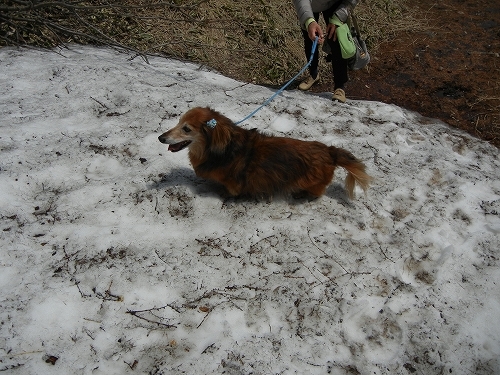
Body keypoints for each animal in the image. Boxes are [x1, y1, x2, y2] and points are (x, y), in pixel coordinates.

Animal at [157, 106, 372, 198]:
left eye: (186, 129)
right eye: (178, 122)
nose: (160, 138)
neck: (226, 149)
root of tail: (330, 151)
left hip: (312, 183)